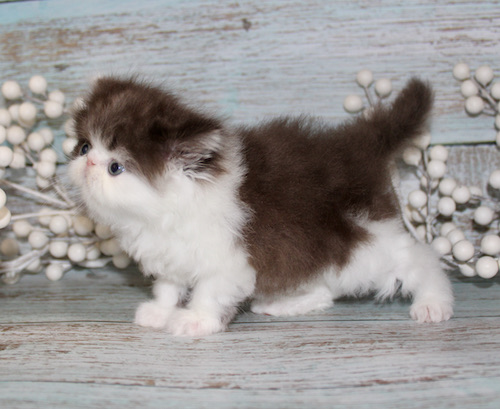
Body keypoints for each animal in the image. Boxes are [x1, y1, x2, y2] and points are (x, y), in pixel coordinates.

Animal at [67, 76, 453, 336]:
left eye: (115, 167)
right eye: (85, 147)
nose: (88, 164)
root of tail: (360, 145)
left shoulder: (229, 260)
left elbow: (209, 291)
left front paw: (195, 320)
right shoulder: (172, 253)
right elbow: (168, 286)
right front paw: (161, 312)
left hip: (364, 240)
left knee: (417, 257)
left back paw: (433, 301)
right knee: (327, 287)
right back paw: (287, 303)